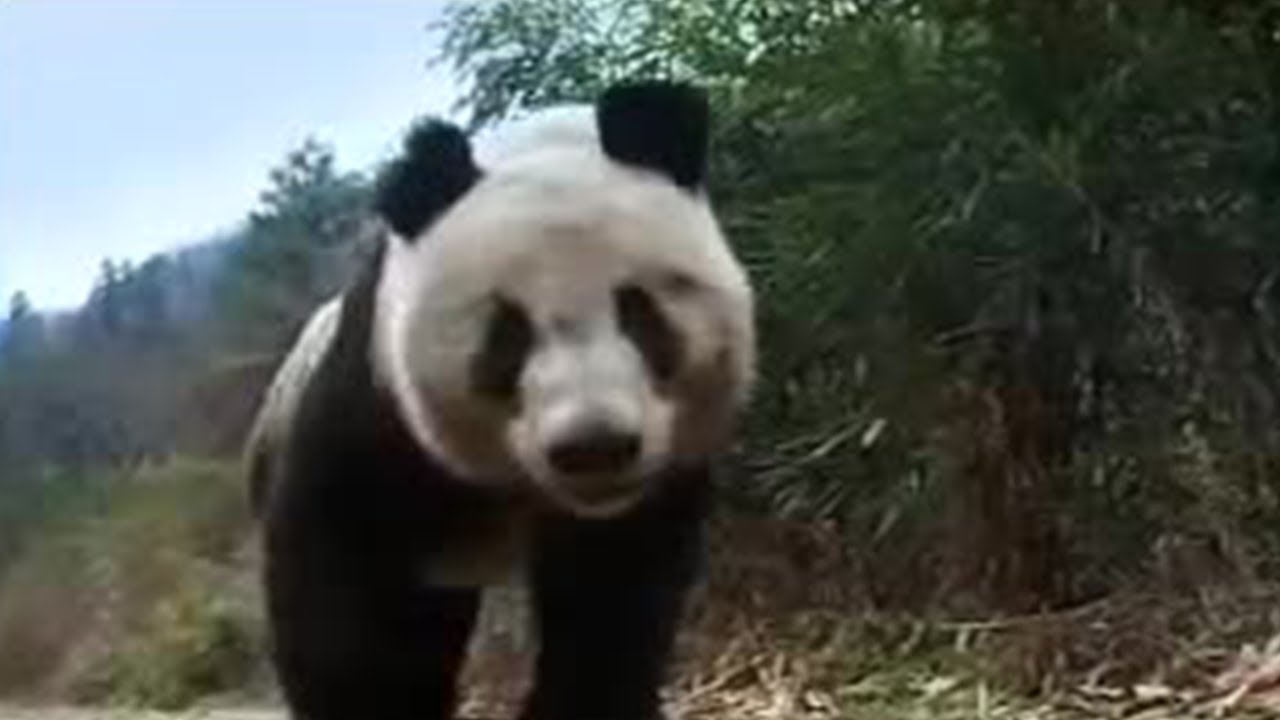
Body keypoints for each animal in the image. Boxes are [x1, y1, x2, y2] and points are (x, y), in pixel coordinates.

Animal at [244, 80, 756, 720]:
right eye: (508, 333)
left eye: (638, 310)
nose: (594, 447)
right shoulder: (371, 413)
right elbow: (346, 609)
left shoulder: (645, 491)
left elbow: (612, 604)